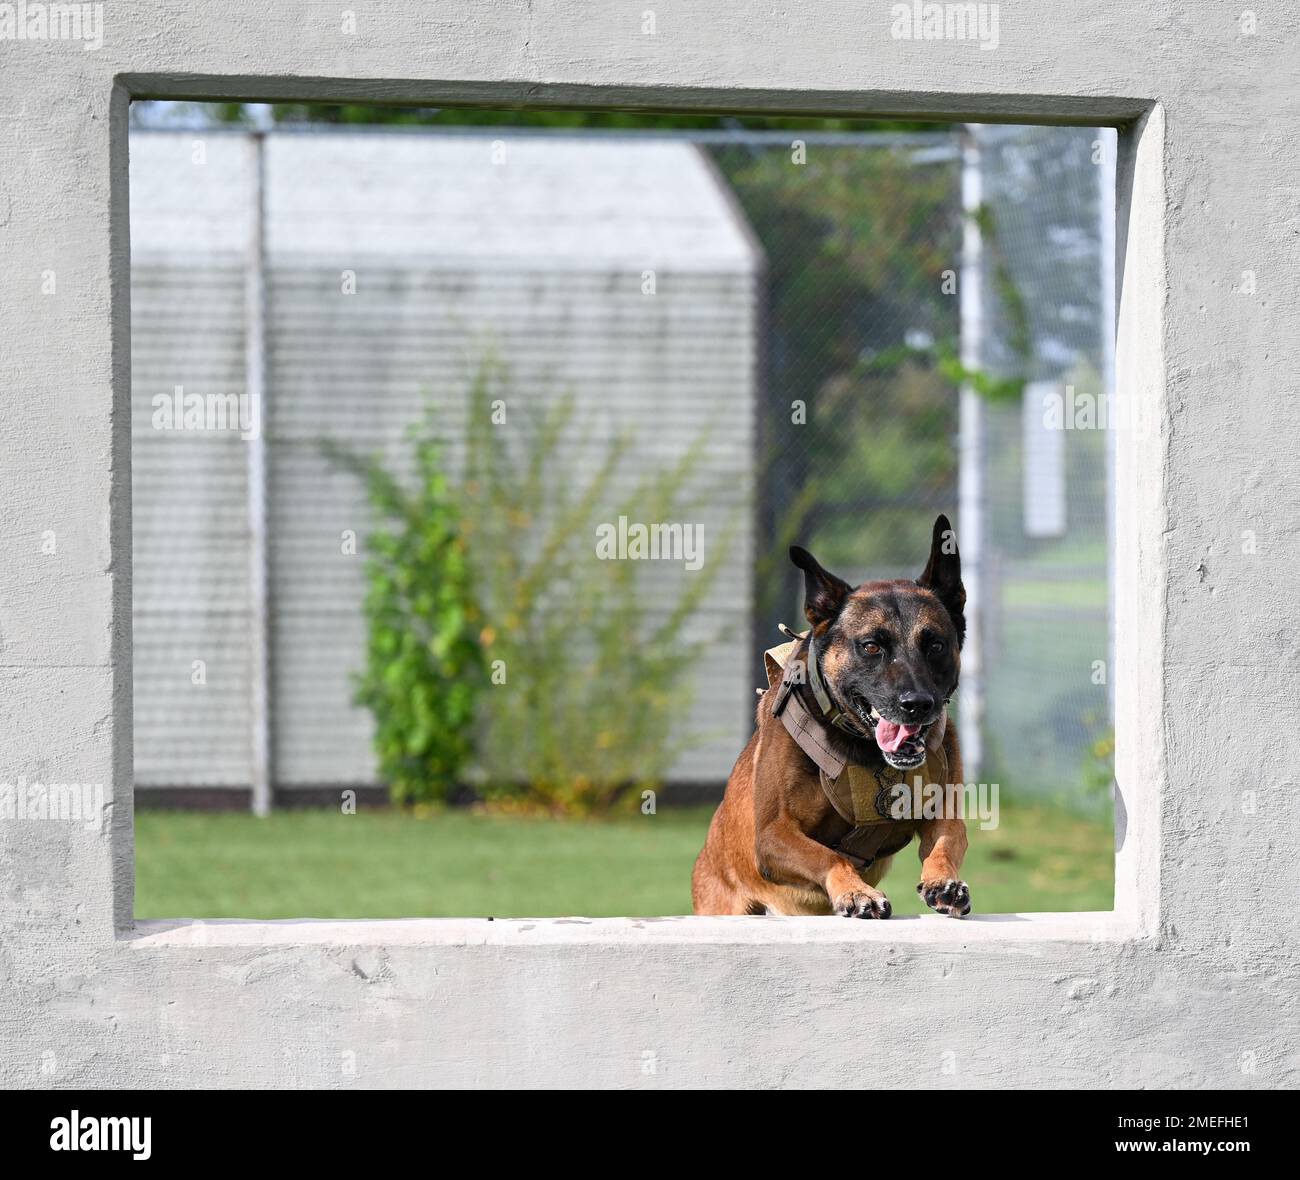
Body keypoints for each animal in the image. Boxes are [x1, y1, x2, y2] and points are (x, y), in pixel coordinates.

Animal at [696, 519, 972, 920]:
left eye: (935, 644)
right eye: (871, 646)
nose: (917, 704)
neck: (864, 750)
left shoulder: (943, 813)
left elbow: (948, 839)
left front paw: (944, 881)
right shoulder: (774, 835)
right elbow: (827, 856)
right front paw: (856, 891)